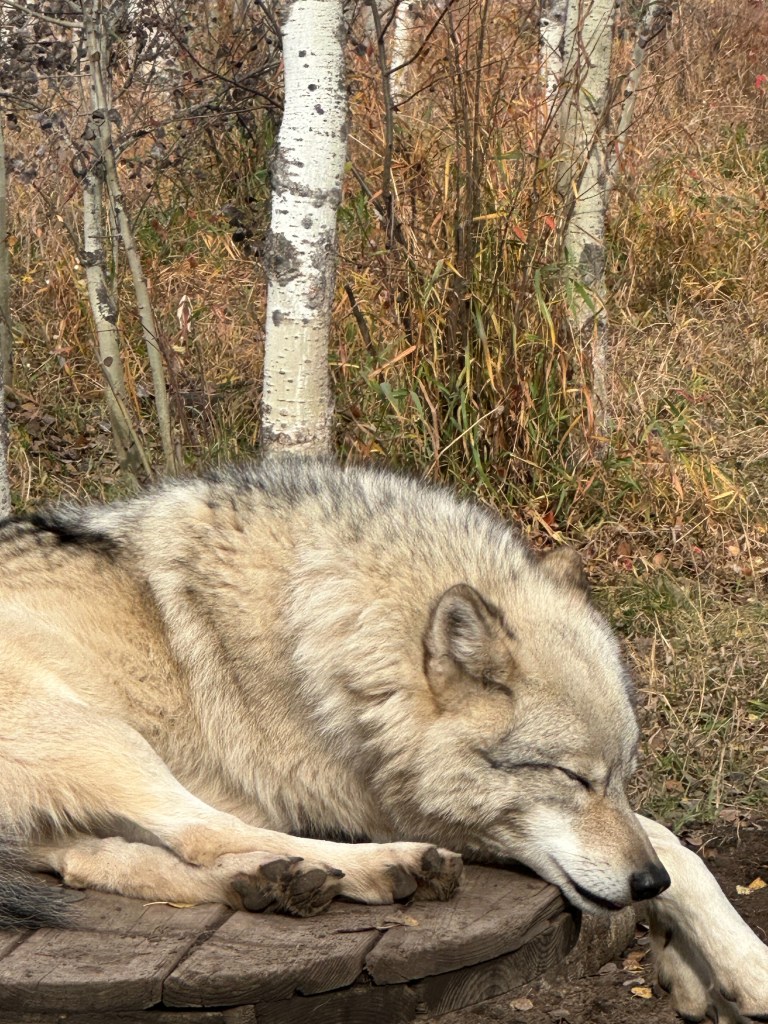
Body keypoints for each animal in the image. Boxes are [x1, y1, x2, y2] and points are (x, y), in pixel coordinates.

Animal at [0, 458, 766, 1022]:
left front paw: (714, 966)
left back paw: (276, 884)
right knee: (203, 833)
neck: (328, 619)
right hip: (104, 736)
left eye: (622, 775)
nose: (644, 884)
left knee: (103, 864)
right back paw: (379, 869)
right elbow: (664, 838)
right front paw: (735, 963)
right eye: (572, 778)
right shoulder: (384, 804)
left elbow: (670, 841)